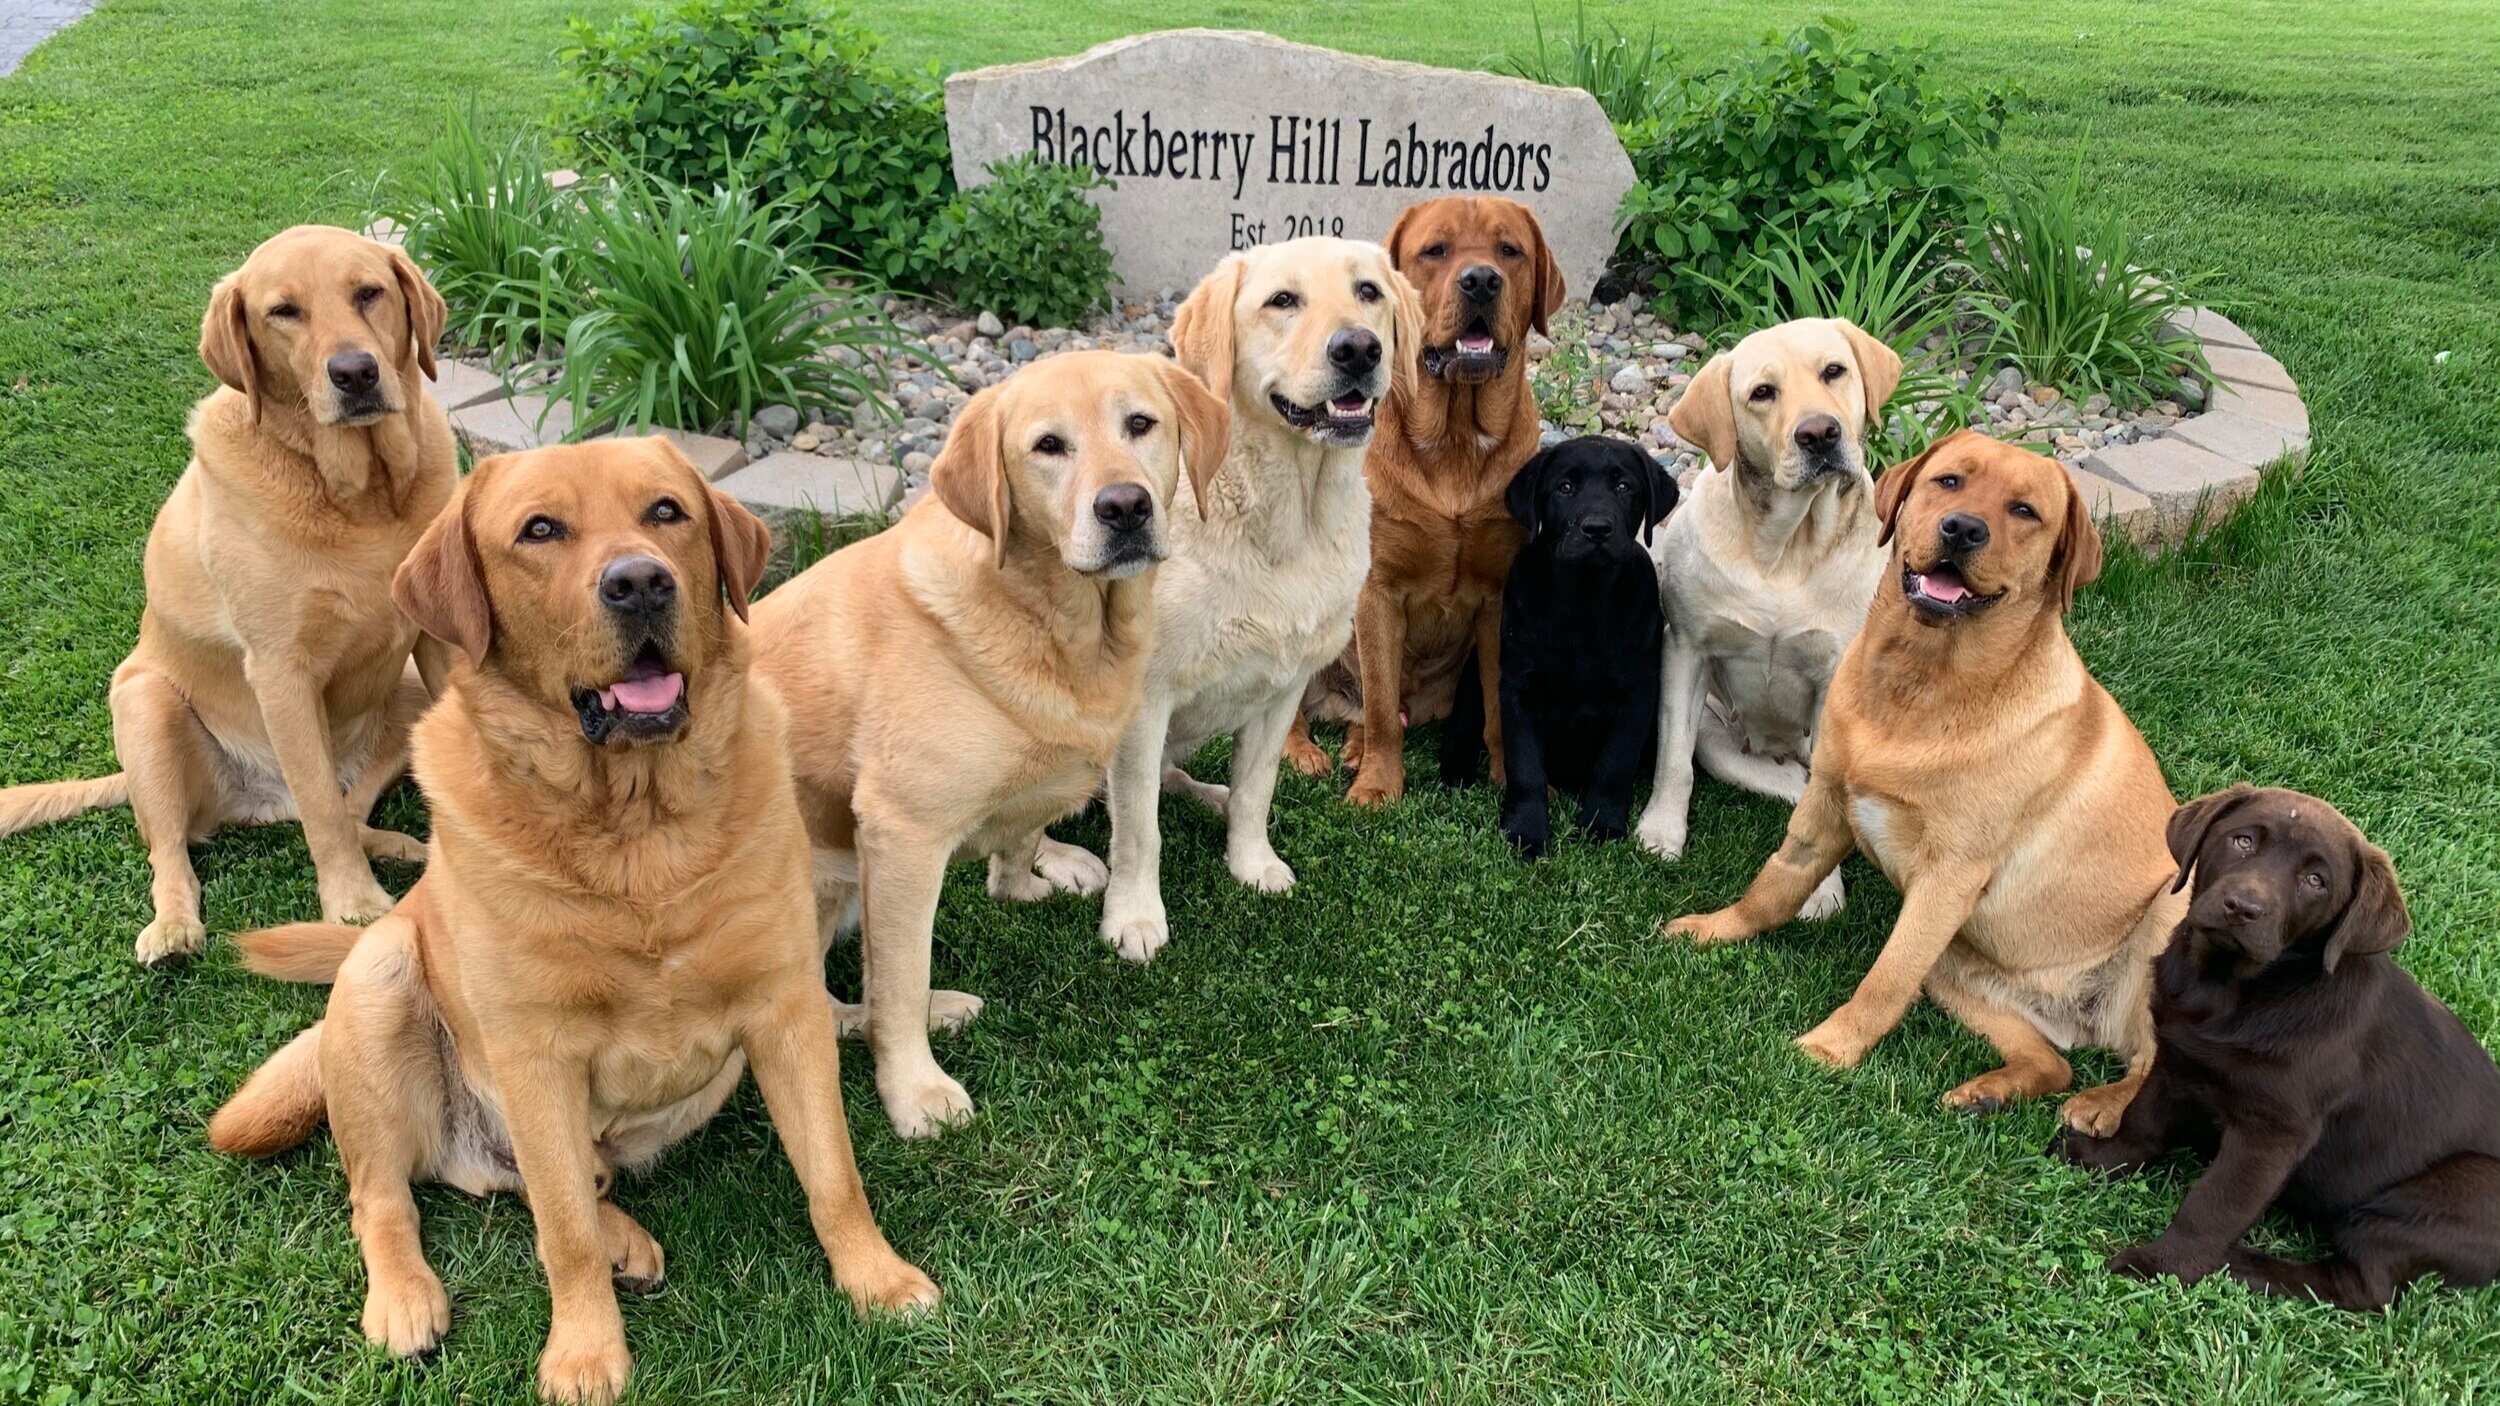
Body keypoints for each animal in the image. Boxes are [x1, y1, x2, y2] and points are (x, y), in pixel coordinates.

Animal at [1440, 435, 1670, 855]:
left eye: (1624, 486)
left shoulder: (1637, 694)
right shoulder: (1517, 691)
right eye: (1564, 488)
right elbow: (1525, 767)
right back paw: (1456, 770)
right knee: (1462, 724)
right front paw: (1526, 832)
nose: (1597, 529)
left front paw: (1602, 824)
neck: (1583, 602)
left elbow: (1614, 765)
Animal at [2050, 780, 2500, 1310]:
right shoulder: (2176, 1060)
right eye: (2243, 841)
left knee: (2362, 1287)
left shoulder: (2273, 1133)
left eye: (2315, 880)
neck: (2231, 991)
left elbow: (2214, 1203)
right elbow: (2143, 1120)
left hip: (2446, 1196)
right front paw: (2100, 1158)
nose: (2242, 907)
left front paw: (2162, 1265)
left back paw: (2240, 1263)